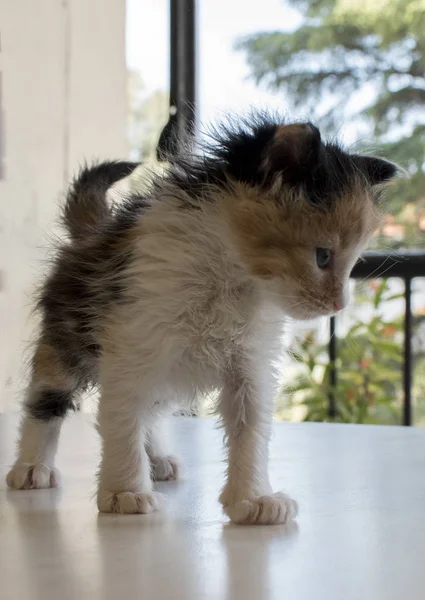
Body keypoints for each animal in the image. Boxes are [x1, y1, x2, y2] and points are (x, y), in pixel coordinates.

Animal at [4, 113, 396, 524]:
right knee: (46, 402)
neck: (229, 280)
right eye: (322, 256)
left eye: (354, 262)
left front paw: (253, 498)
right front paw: (125, 492)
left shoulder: (249, 365)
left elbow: (251, 428)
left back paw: (158, 459)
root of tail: (91, 234)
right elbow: (121, 418)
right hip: (65, 340)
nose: (338, 305)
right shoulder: (130, 341)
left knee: (151, 411)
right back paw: (32, 467)